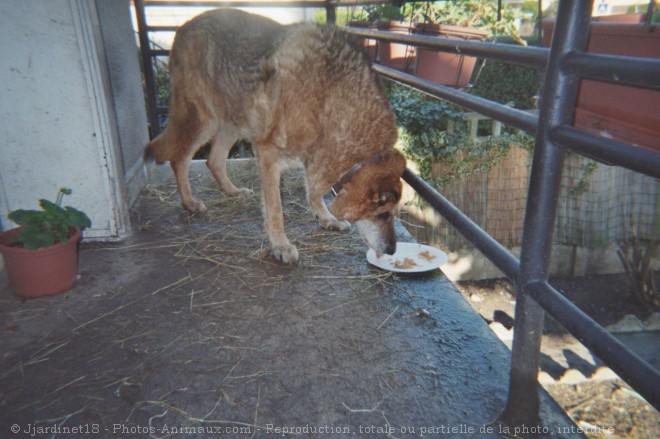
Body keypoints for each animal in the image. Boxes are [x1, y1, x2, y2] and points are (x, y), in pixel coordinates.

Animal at [142, 9, 404, 264]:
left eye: (392, 214)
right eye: (382, 214)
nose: (393, 250)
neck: (331, 97)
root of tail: (184, 27)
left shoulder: (315, 156)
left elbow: (314, 191)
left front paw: (325, 217)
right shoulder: (268, 154)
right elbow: (276, 209)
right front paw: (280, 246)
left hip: (234, 120)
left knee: (213, 160)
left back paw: (232, 191)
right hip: (206, 120)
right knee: (180, 157)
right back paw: (189, 202)